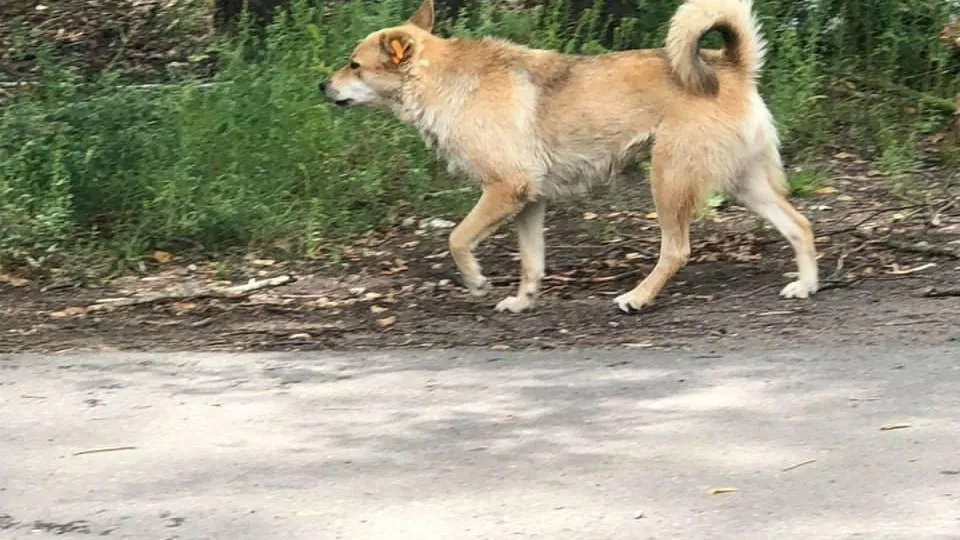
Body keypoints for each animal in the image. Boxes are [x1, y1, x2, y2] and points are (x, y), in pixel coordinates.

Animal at [320, 0, 816, 312]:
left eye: (354, 64)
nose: (321, 86)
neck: (446, 81)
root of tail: (731, 65)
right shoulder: (528, 201)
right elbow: (531, 262)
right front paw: (523, 301)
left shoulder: (503, 190)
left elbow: (457, 239)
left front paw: (477, 281)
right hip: (743, 183)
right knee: (800, 225)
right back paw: (807, 284)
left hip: (669, 180)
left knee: (676, 251)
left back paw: (638, 298)